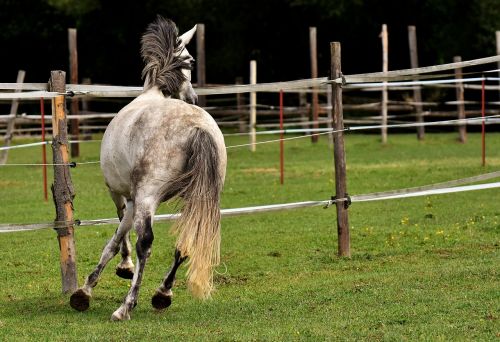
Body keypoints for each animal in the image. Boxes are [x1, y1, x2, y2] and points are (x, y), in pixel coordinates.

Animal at [69, 16, 227, 320]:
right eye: (191, 61)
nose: (193, 98)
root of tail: (197, 128)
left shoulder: (122, 195)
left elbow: (116, 240)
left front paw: (88, 288)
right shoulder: (133, 199)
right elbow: (118, 237)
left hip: (147, 198)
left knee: (146, 243)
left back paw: (126, 306)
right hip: (197, 198)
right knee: (185, 242)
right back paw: (162, 294)